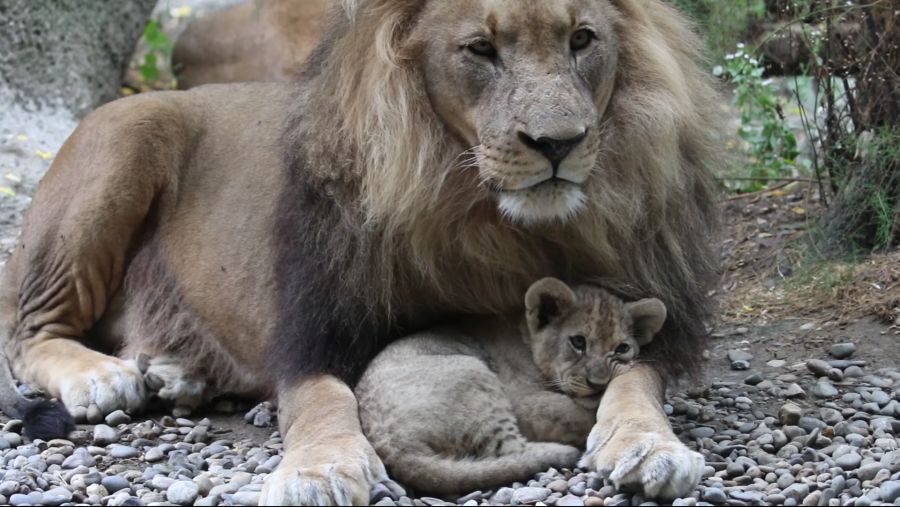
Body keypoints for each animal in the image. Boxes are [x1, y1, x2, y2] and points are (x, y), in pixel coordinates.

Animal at [0, 0, 720, 504]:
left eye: (582, 39)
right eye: (481, 49)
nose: (559, 143)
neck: (493, 224)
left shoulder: (651, 321)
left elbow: (635, 379)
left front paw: (649, 444)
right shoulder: (315, 333)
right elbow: (325, 402)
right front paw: (320, 468)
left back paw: (178, 373)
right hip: (124, 140)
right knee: (29, 332)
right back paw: (105, 377)